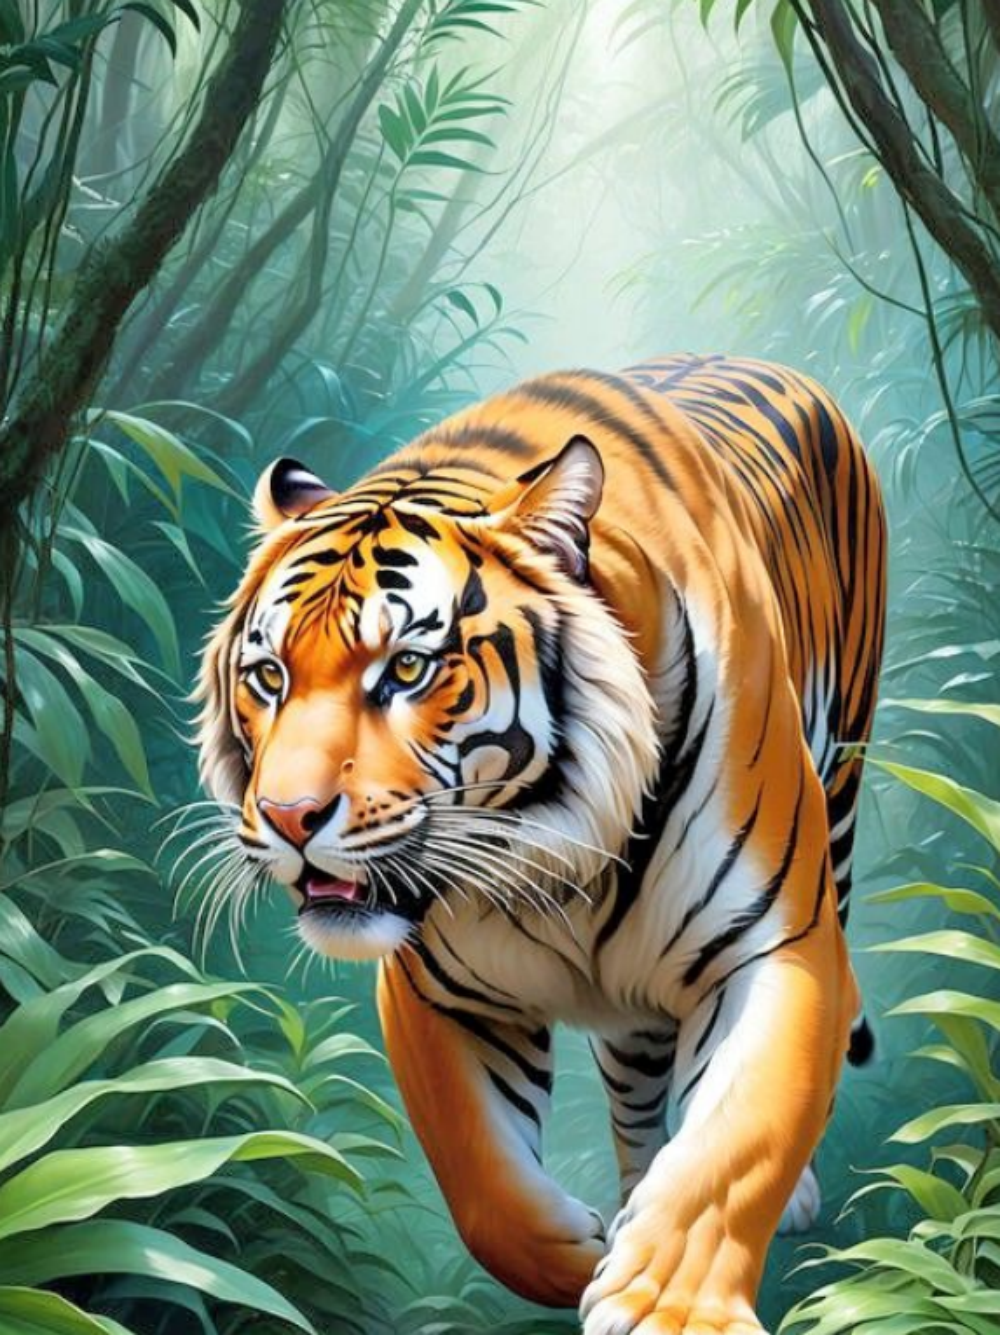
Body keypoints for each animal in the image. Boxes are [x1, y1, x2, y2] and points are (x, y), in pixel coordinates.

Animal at [197, 353, 886, 1335]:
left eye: (407, 668)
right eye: (268, 675)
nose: (292, 816)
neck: (562, 861)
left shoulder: (777, 945)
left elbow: (736, 1141)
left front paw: (664, 1304)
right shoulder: (436, 987)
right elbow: (481, 1178)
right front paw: (578, 1253)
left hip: (843, 786)